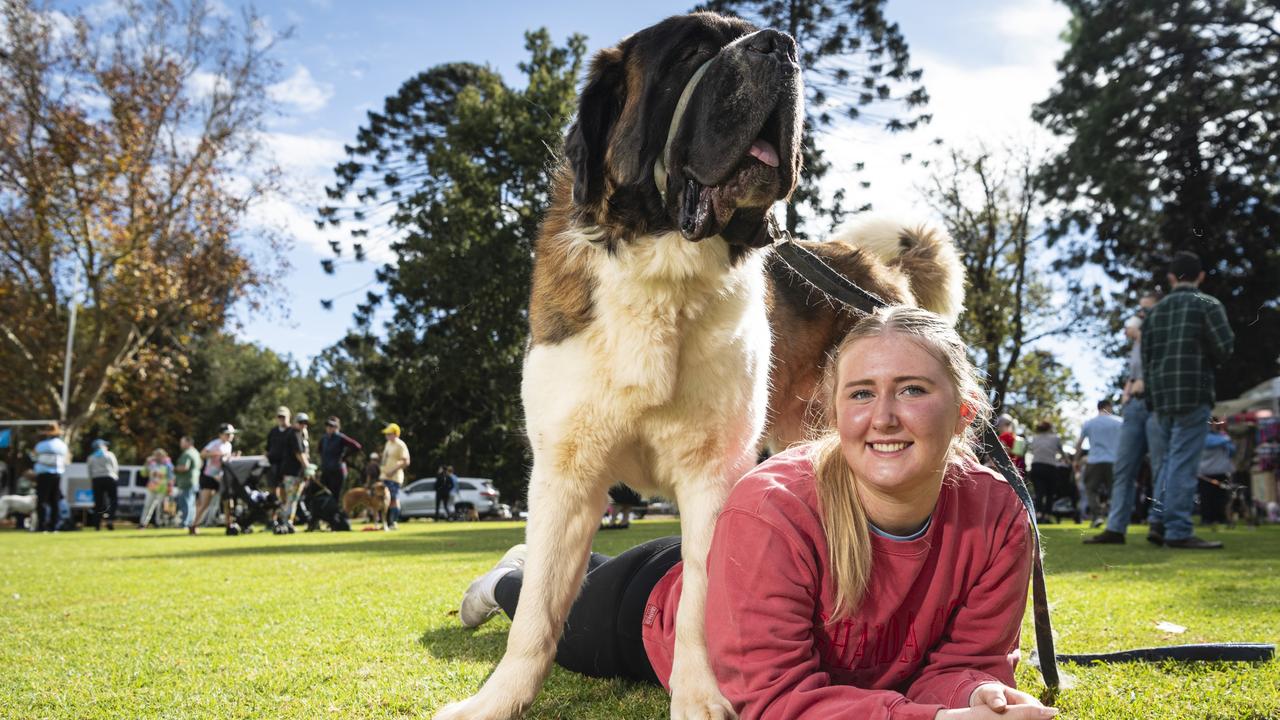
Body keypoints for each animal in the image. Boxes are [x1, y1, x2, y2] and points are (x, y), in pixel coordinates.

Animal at [430, 11, 962, 717]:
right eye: (687, 55)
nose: (782, 46)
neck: (664, 270)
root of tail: (872, 269)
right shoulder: (565, 475)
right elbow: (539, 609)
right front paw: (497, 701)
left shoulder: (716, 472)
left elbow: (704, 599)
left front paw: (702, 698)